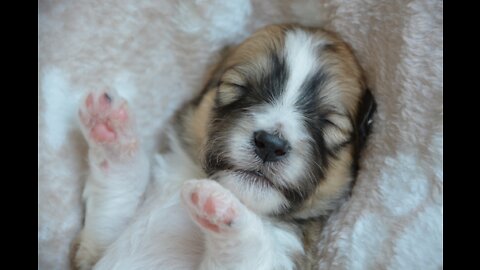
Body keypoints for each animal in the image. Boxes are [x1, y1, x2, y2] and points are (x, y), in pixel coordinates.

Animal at [73, 24, 376, 268]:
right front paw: (110, 128)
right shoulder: (91, 252)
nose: (270, 144)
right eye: (236, 87)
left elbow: (248, 249)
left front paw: (218, 202)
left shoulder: (285, 254)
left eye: (330, 125)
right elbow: (115, 200)